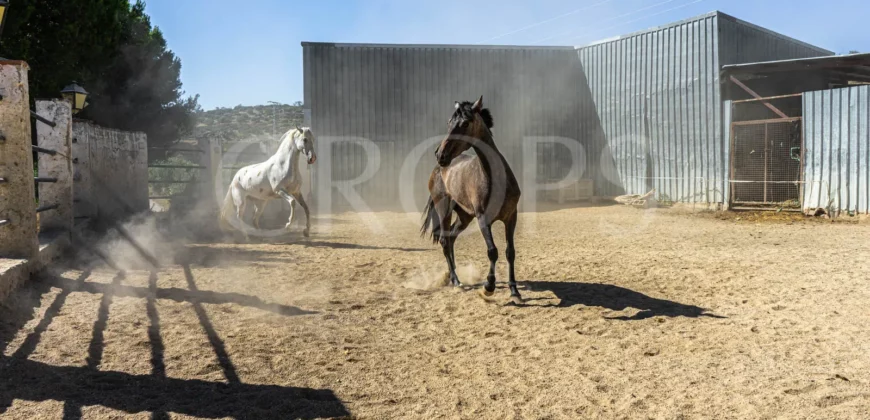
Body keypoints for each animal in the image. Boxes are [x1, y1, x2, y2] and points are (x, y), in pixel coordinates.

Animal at [422, 97, 524, 304]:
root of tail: (437, 170)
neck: (495, 178)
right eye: (449, 122)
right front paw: (488, 288)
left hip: (464, 217)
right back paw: (456, 281)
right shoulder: (483, 219)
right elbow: (492, 251)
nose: (440, 154)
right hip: (444, 210)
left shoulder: (511, 216)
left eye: (465, 123)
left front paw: (515, 292)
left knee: (451, 238)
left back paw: (452, 276)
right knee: (445, 241)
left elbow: (510, 252)